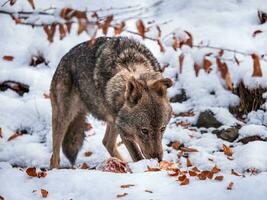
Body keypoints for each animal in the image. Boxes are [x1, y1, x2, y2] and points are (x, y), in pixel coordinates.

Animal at [49, 36, 174, 168]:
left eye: (162, 129)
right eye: (144, 130)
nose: (158, 159)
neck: (131, 67)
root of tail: (63, 58)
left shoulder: (119, 124)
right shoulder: (123, 130)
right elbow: (137, 156)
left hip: (113, 121)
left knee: (106, 142)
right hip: (65, 118)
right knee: (54, 156)